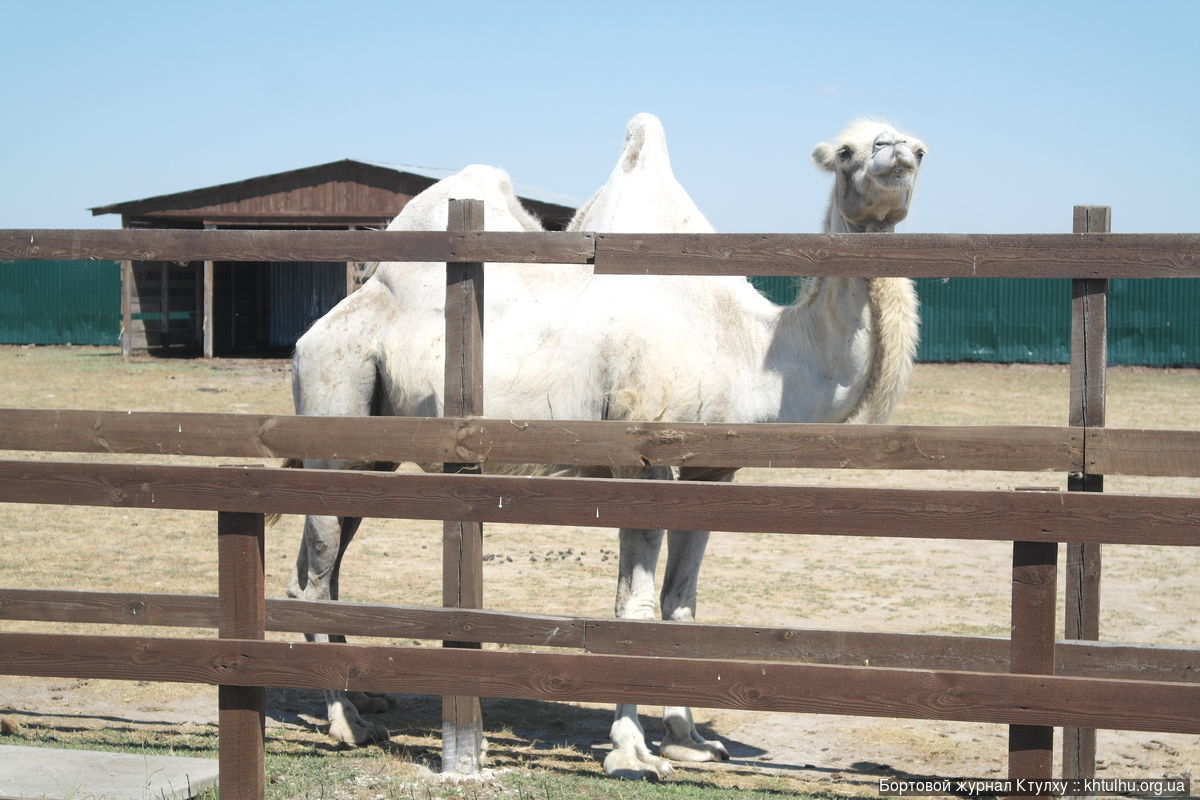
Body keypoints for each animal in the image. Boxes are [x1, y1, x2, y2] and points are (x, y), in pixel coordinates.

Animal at [285, 113, 921, 782]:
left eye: (920, 148)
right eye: (847, 150)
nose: (897, 152)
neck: (751, 350)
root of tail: (311, 334)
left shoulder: (711, 473)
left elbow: (680, 607)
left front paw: (690, 739)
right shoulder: (644, 463)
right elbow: (634, 611)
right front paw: (633, 752)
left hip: (371, 452)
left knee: (318, 567)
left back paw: (364, 693)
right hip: (335, 394)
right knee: (316, 574)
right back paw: (347, 723)